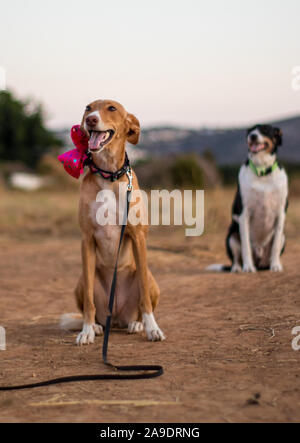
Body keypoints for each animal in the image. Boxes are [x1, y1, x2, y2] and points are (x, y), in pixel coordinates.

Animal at [60, 101, 165, 346]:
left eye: (111, 108)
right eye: (88, 107)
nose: (91, 119)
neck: (108, 174)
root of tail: (116, 318)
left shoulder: (138, 237)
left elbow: (145, 298)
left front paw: (152, 328)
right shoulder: (87, 239)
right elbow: (89, 303)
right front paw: (87, 331)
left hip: (149, 277)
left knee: (138, 306)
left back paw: (137, 324)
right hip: (81, 280)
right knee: (92, 304)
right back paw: (98, 326)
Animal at [209, 123, 288, 272]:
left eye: (265, 130)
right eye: (250, 130)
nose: (252, 136)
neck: (262, 171)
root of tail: (260, 263)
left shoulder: (280, 214)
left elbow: (275, 247)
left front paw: (276, 265)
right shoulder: (244, 214)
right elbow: (246, 245)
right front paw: (248, 267)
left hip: (283, 238)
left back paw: (269, 265)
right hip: (232, 237)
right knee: (236, 259)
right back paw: (238, 268)